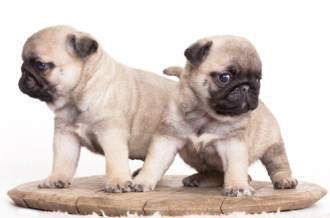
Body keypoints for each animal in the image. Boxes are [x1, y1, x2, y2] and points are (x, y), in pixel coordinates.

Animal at [18, 25, 178, 192]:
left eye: (40, 65)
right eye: (23, 64)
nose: (23, 72)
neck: (77, 97)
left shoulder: (111, 133)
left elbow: (115, 160)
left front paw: (117, 181)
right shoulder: (66, 135)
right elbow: (63, 161)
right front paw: (56, 178)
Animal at [135, 35, 298, 196]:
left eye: (258, 79)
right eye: (225, 77)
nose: (246, 87)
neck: (205, 113)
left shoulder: (232, 144)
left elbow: (235, 168)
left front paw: (238, 186)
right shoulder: (168, 139)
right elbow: (153, 163)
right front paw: (142, 181)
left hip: (272, 145)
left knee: (278, 164)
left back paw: (284, 180)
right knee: (216, 173)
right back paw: (199, 178)